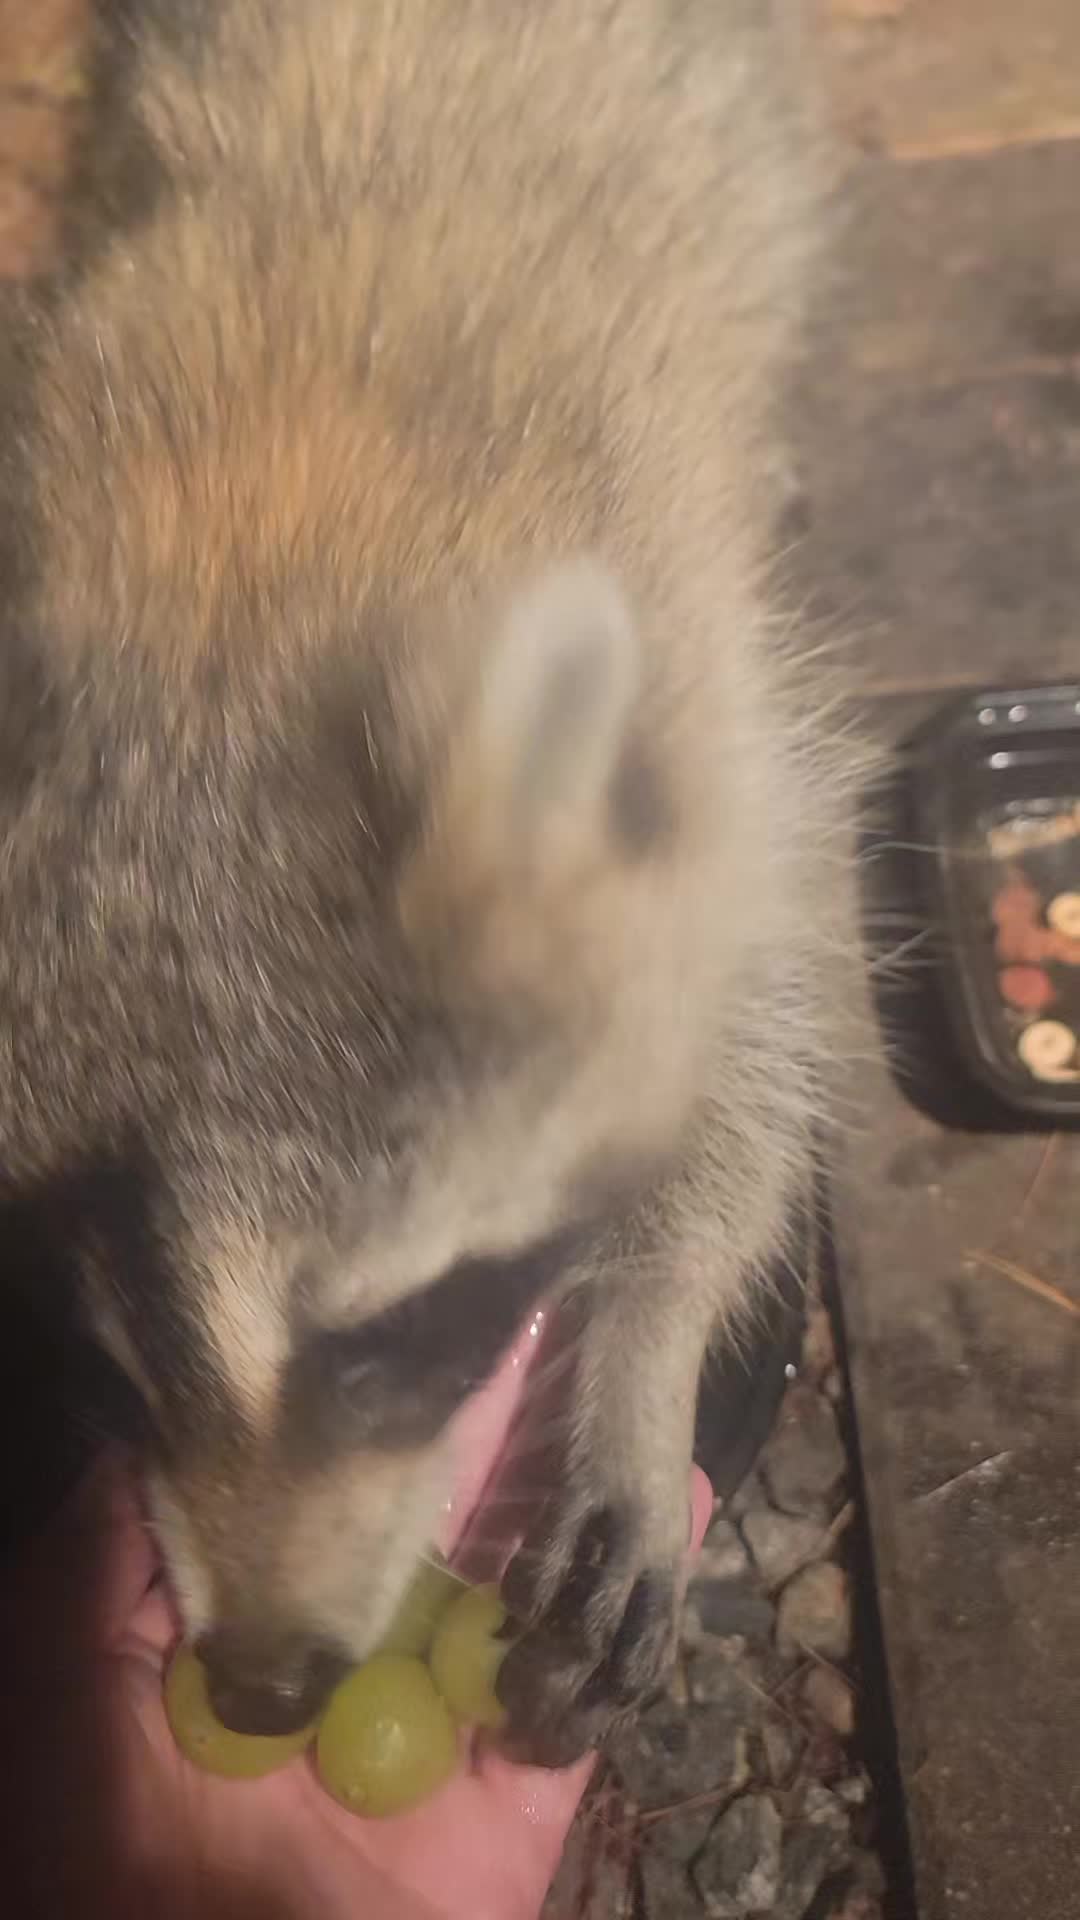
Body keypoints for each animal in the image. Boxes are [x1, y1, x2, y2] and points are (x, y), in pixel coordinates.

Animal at [0, 0, 853, 1765]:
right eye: (106, 1367)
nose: (263, 1686)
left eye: (389, 1340)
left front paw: (649, 1343)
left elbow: (767, 1005)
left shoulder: (705, 707)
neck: (229, 627)